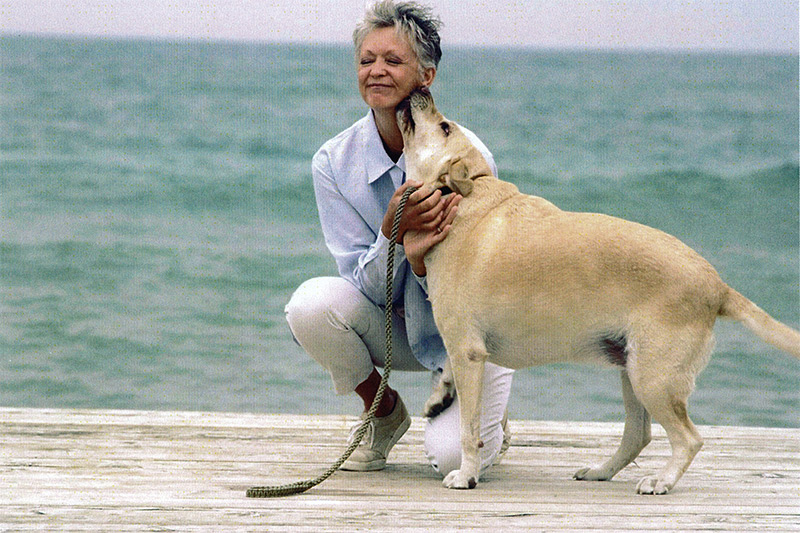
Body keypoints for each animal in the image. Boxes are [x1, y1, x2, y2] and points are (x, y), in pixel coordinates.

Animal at [395, 87, 800, 495]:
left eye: (444, 127)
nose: (420, 91)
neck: (465, 196)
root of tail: (717, 285)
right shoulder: (464, 347)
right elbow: (447, 372)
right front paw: (439, 397)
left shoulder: (467, 350)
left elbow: (469, 429)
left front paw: (466, 475)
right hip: (632, 371)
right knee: (638, 435)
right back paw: (601, 471)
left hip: (653, 379)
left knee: (688, 439)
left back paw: (661, 480)